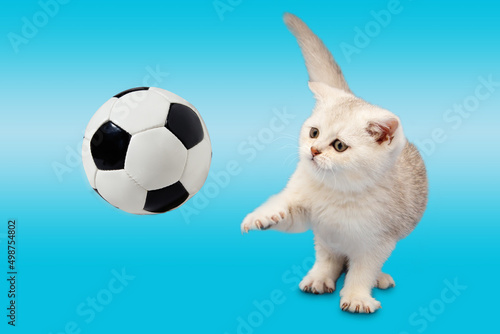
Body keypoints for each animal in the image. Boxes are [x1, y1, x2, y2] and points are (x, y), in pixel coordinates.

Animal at [240, 13, 428, 316]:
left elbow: (363, 269)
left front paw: (357, 296)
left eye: (339, 146)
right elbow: (289, 212)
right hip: (324, 237)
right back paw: (319, 278)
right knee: (328, 256)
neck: (338, 192)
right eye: (314, 132)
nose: (314, 150)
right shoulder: (305, 207)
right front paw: (264, 216)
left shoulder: (378, 241)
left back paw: (376, 278)